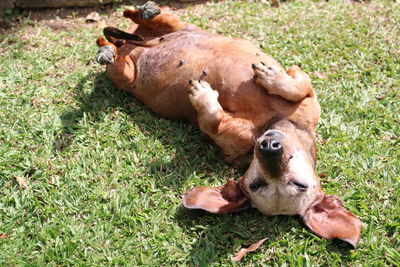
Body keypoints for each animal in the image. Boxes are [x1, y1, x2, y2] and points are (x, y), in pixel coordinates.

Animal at [97, 2, 362, 249]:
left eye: (297, 185)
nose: (269, 147)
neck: (274, 120)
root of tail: (136, 43)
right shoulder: (306, 91)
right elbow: (300, 85)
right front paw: (272, 77)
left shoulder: (222, 135)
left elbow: (211, 121)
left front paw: (203, 96)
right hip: (178, 25)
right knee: (146, 19)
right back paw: (142, 14)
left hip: (128, 78)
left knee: (120, 63)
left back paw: (110, 50)